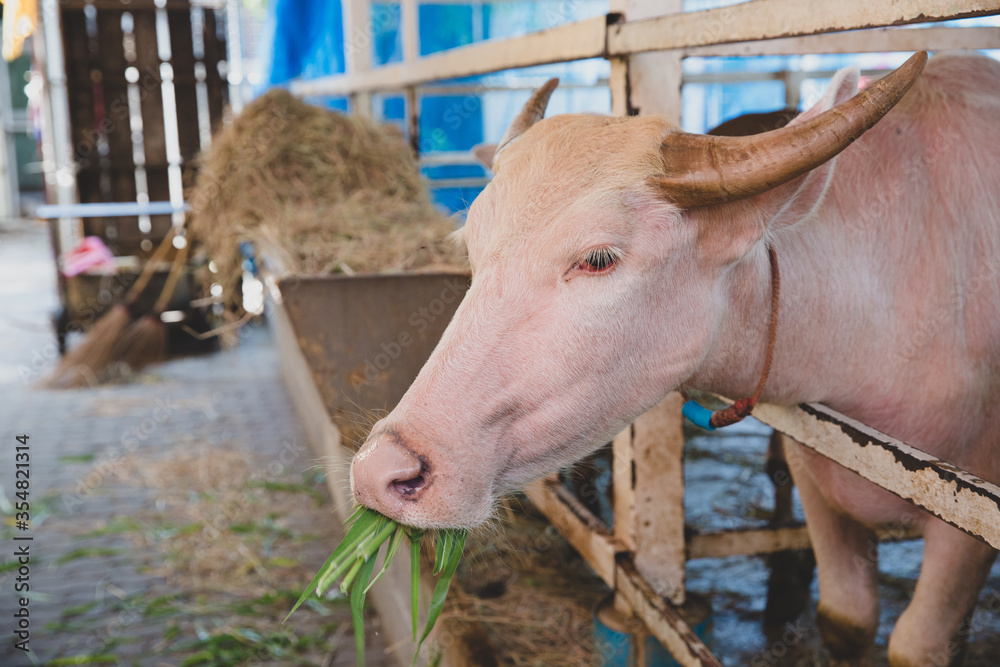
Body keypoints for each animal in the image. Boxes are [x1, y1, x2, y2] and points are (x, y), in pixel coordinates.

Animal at [352, 53, 1000, 667]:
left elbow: (916, 644)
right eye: (473, 246)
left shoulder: (967, 531)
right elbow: (846, 618)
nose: (382, 471)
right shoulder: (818, 481)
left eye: (598, 258)